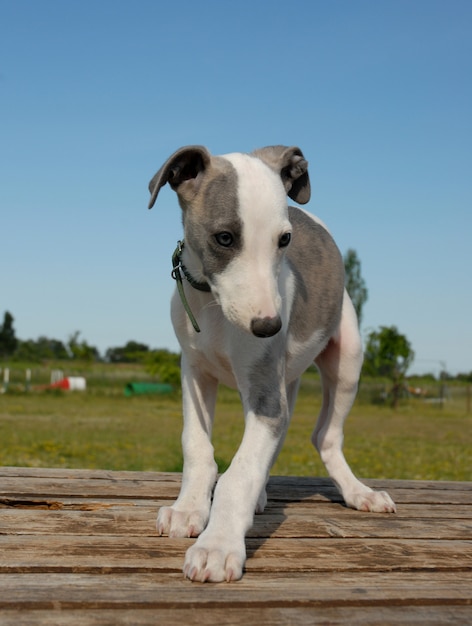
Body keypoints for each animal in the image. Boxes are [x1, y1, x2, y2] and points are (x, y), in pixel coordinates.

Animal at [147, 145, 394, 580]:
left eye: (285, 240)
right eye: (224, 237)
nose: (270, 327)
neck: (212, 307)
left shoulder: (265, 394)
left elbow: (240, 472)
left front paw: (216, 545)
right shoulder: (195, 372)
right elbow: (197, 445)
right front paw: (187, 509)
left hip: (346, 360)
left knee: (325, 437)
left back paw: (358, 492)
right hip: (286, 380)